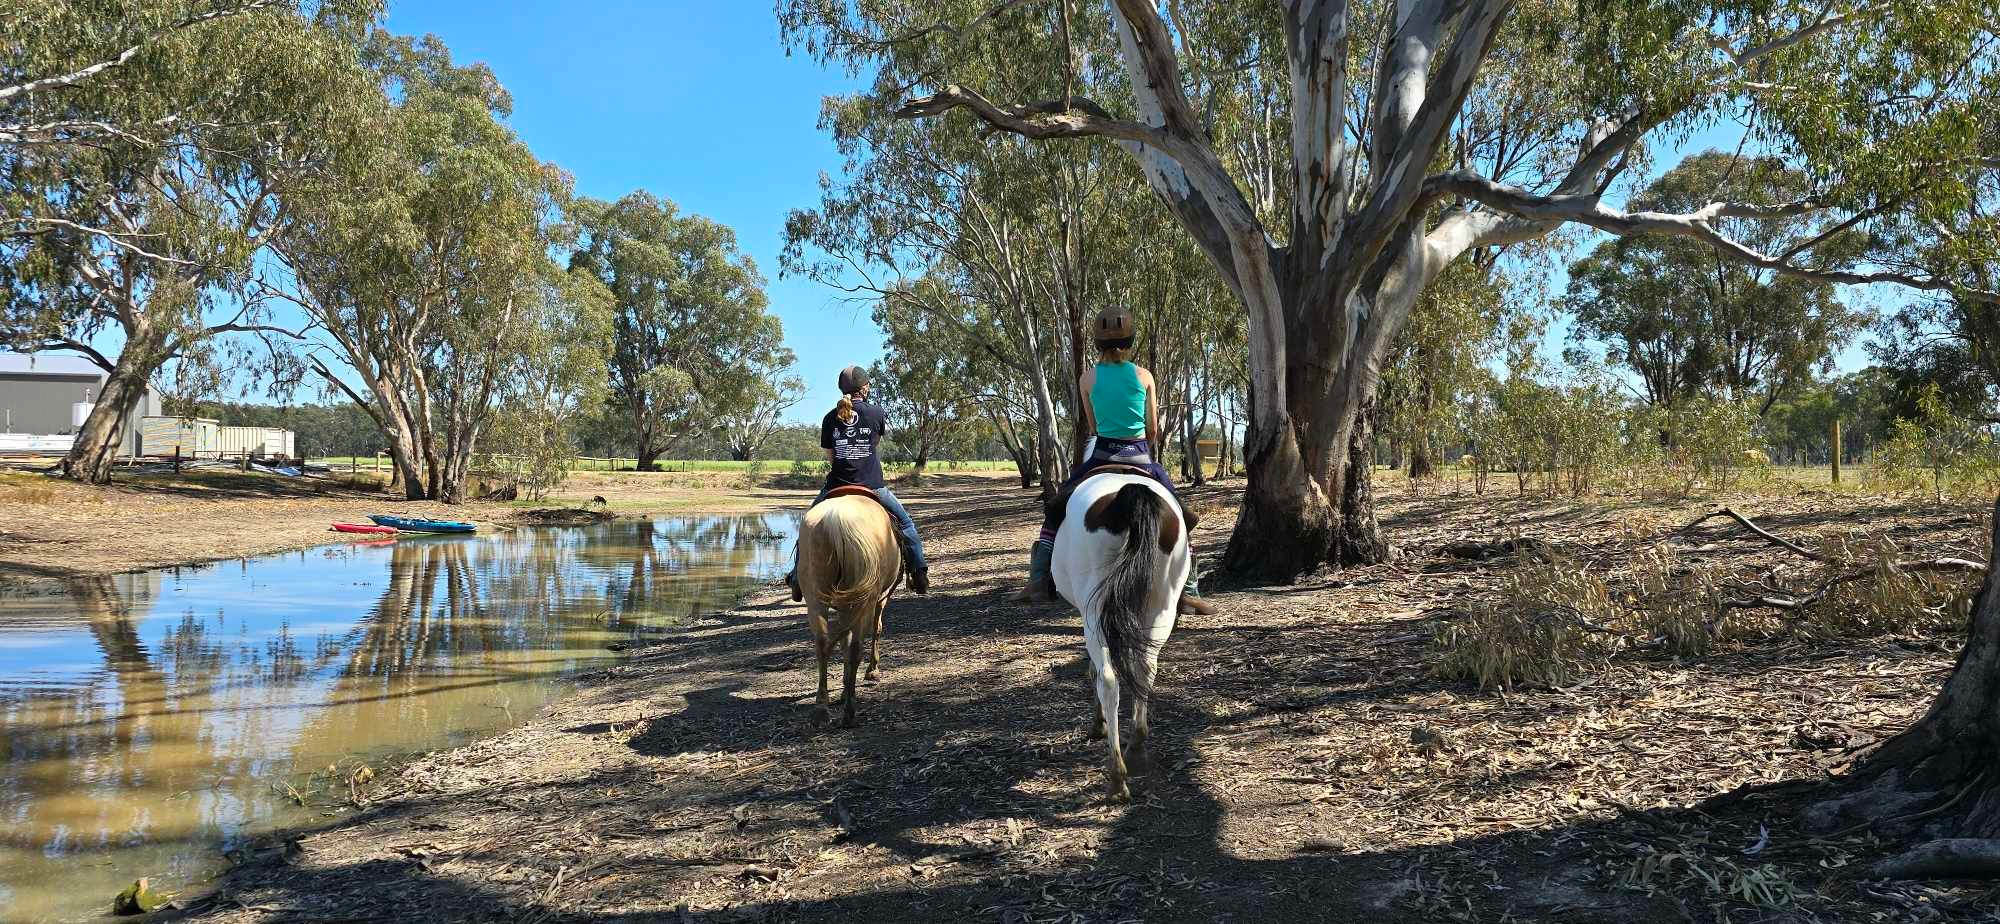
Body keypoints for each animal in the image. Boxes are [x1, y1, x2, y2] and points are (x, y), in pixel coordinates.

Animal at [796, 488, 902, 727]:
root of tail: (835, 520)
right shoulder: (880, 599)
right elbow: (876, 629)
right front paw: (872, 672)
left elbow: (843, 642)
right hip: (865, 599)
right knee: (856, 647)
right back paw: (849, 711)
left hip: (816, 599)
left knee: (822, 643)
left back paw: (821, 709)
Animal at [1052, 471, 1189, 801]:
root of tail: (1131, 491)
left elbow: (1092, 671)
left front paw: (1097, 724)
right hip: (1162, 605)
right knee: (1146, 669)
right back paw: (1137, 745)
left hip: (1095, 610)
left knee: (1109, 679)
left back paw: (1116, 775)